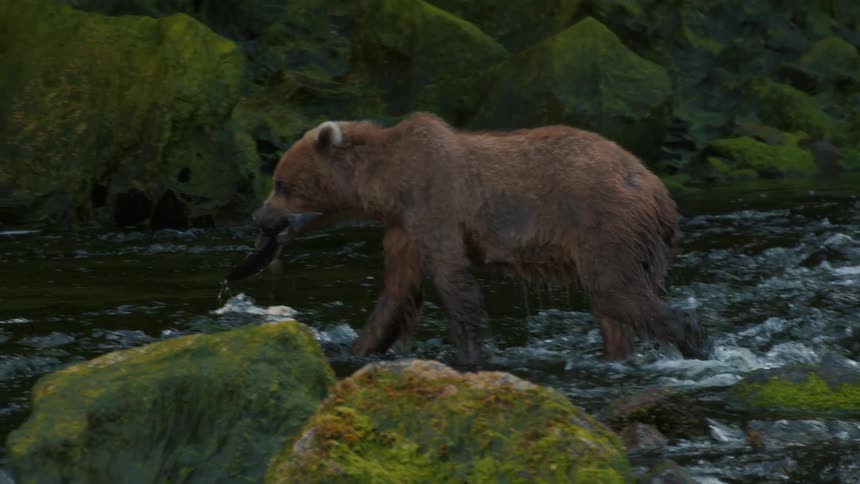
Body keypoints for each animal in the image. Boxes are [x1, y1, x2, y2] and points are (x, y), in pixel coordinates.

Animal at [245, 112, 713, 364]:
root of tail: (659, 190)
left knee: (615, 292)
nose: (258, 216)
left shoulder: (435, 203)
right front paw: (357, 348)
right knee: (613, 312)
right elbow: (396, 293)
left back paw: (695, 340)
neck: (388, 184)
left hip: (605, 224)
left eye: (282, 183)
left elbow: (454, 283)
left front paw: (472, 355)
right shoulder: (403, 227)